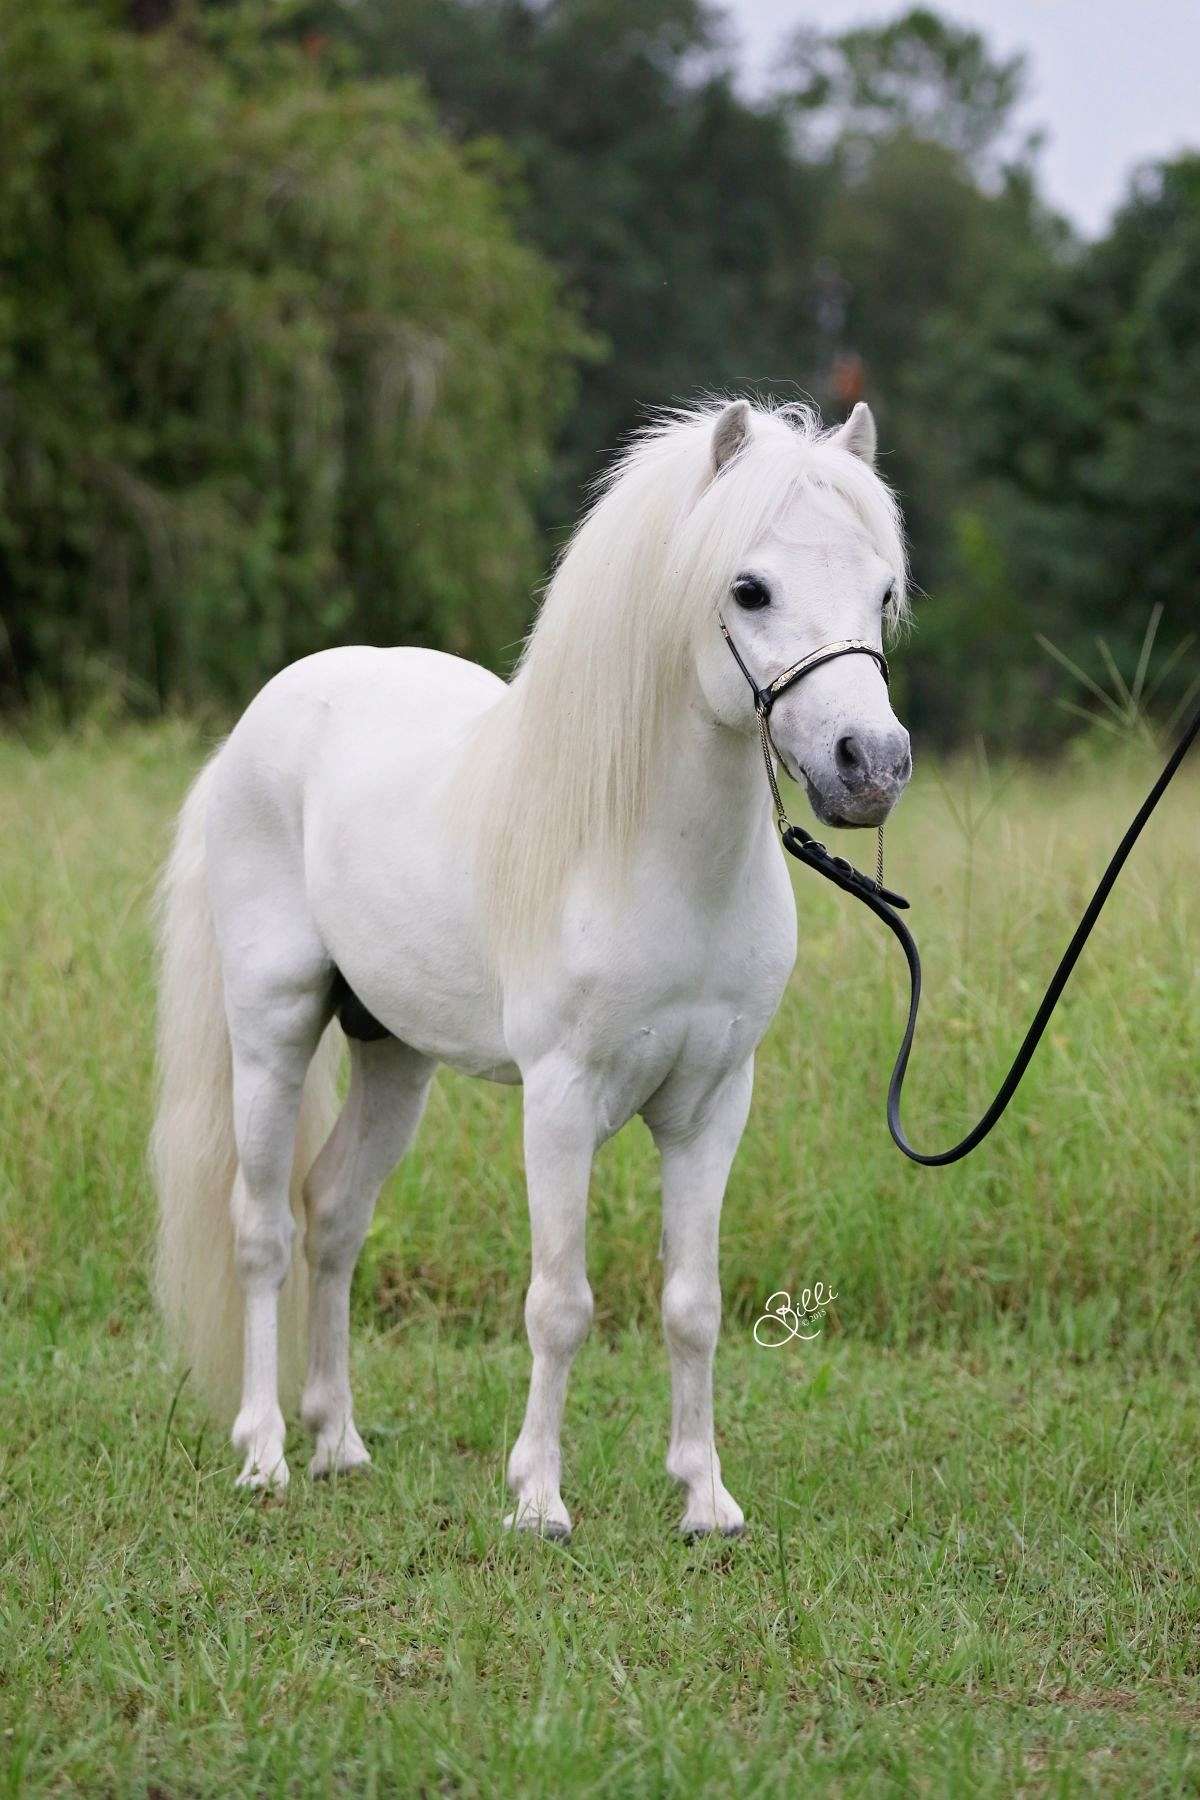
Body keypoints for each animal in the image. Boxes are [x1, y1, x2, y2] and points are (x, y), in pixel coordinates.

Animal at [154, 401, 913, 1540]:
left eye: (883, 591)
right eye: (749, 589)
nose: (870, 766)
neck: (645, 856)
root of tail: (257, 725)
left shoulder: (712, 1104)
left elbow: (693, 1303)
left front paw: (706, 1500)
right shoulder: (559, 1102)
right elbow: (560, 1304)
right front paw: (540, 1500)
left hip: (394, 1058)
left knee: (333, 1216)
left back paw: (339, 1442)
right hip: (271, 1031)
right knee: (262, 1231)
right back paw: (266, 1455)